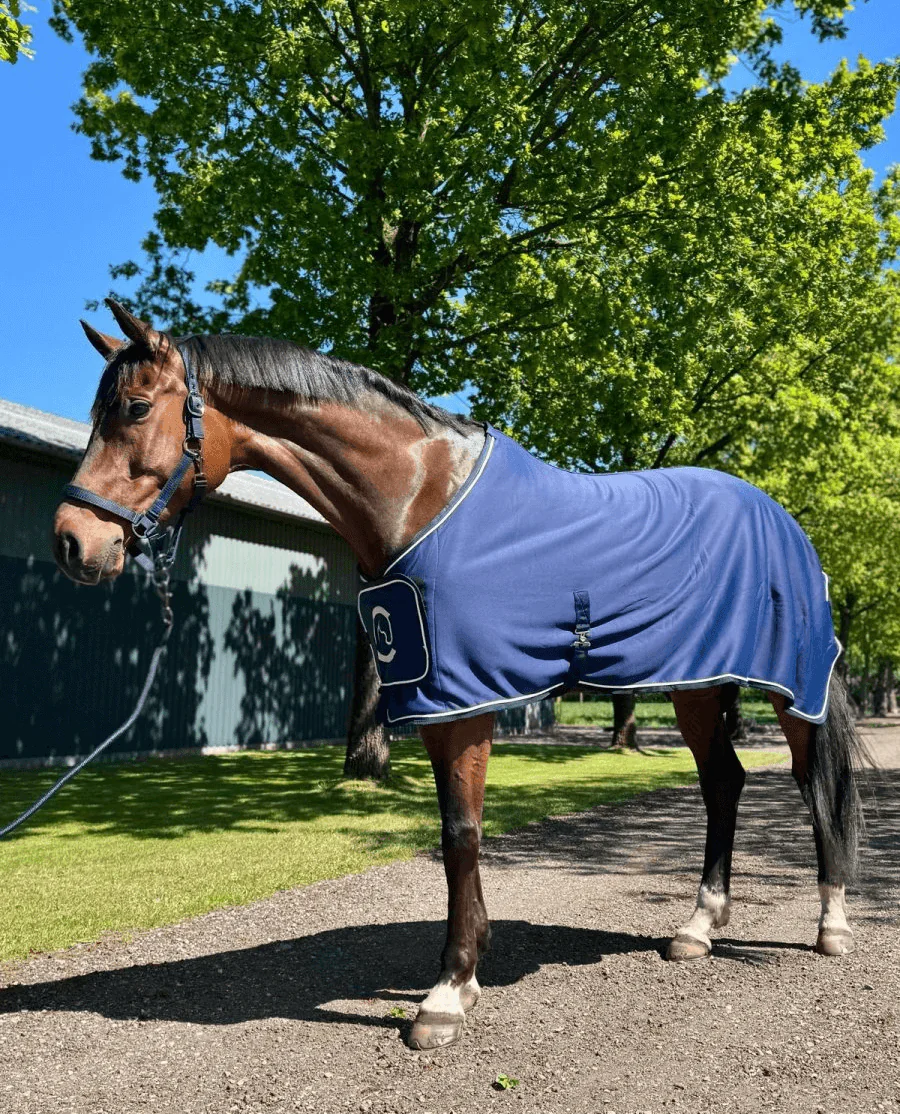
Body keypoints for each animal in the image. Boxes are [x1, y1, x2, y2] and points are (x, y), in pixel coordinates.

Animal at [53, 300, 867, 1051]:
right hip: (699, 685)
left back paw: (831, 924)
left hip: (792, 689)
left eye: (133, 407)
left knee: (814, 784)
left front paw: (446, 994)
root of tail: (786, 522)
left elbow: (462, 835)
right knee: (723, 782)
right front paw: (467, 970)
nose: (71, 542)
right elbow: (454, 836)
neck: (419, 493)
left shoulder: (469, 701)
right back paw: (698, 926)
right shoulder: (439, 703)